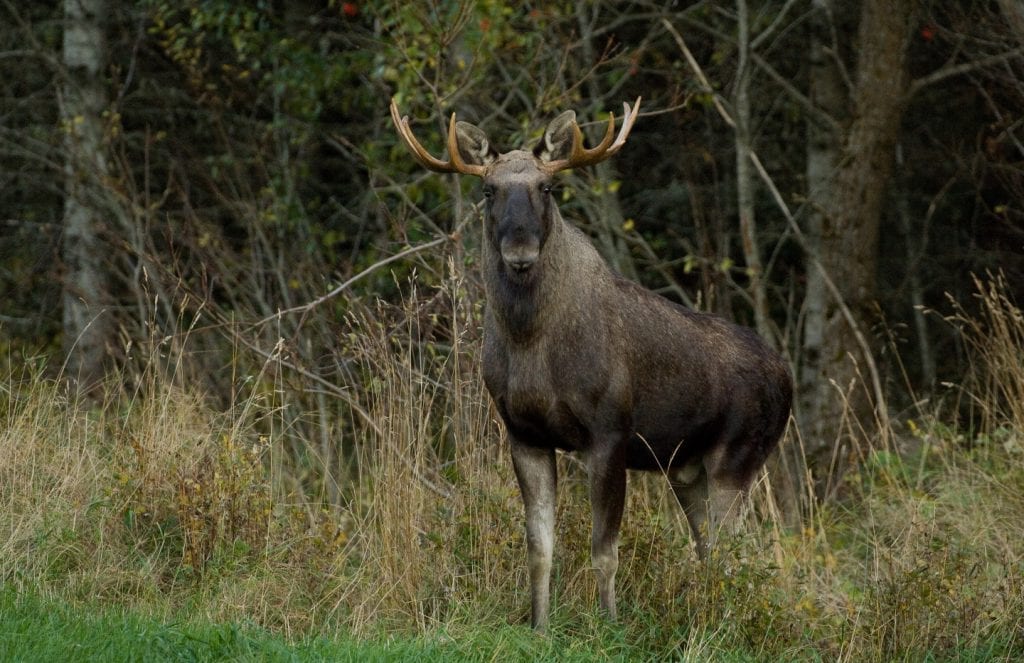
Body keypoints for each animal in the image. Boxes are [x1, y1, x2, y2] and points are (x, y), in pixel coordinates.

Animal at [389, 95, 790, 631]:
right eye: (489, 189)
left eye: (547, 187)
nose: (520, 250)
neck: (532, 347)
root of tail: (787, 377)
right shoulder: (525, 435)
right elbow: (539, 547)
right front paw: (539, 627)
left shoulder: (609, 432)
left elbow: (605, 551)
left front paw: (610, 625)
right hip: (687, 471)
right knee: (710, 551)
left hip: (740, 457)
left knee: (734, 554)